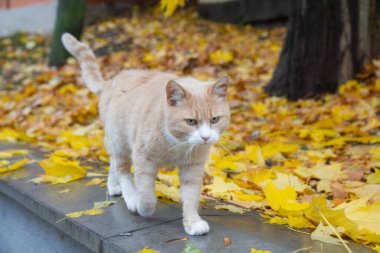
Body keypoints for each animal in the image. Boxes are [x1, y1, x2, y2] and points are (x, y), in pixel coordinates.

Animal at [60, 33, 230, 235]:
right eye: (191, 122)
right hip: (121, 141)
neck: (178, 145)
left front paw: (192, 222)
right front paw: (140, 205)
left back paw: (114, 186)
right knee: (122, 169)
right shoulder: (143, 159)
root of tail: (112, 81)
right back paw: (129, 195)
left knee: (114, 164)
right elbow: (147, 196)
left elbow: (191, 196)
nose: (205, 137)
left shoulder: (193, 167)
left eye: (214, 119)